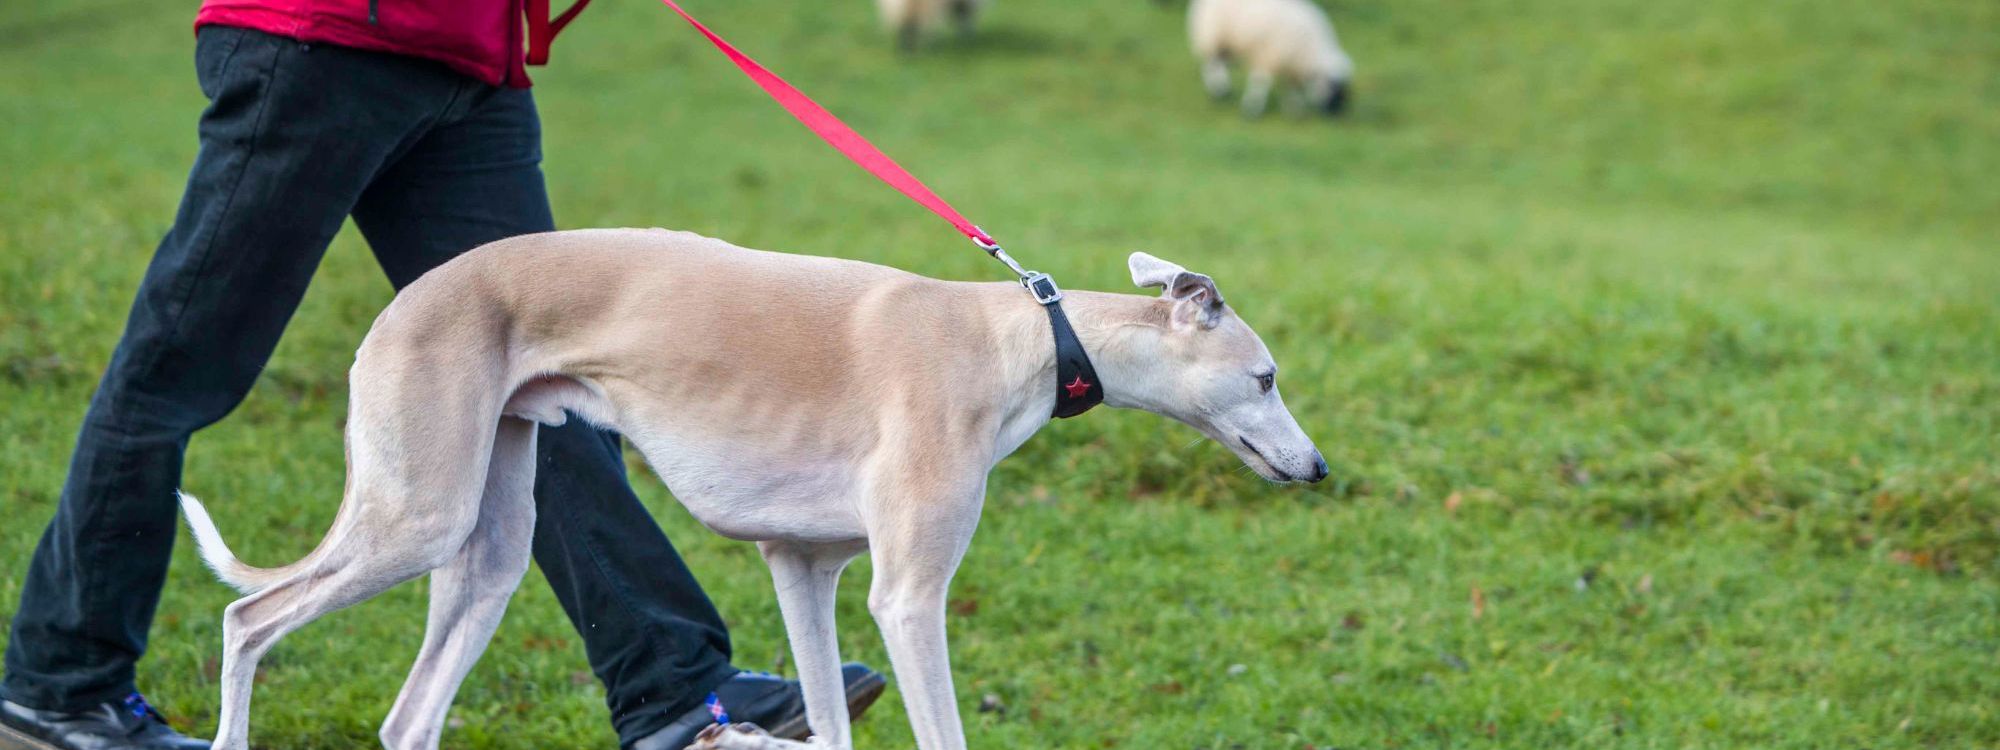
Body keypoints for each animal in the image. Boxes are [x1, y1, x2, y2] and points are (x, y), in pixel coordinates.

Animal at [176, 229, 1328, 750]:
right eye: (1268, 377)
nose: (1319, 468)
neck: (1028, 339)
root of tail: (402, 303)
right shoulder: (906, 598)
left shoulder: (802, 570)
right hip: (415, 514)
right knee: (246, 617)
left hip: (486, 543)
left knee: (407, 715)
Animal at [1184, 0, 1360, 117]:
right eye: (1333, 86)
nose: (1337, 114)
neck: (1310, 50)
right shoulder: (1268, 56)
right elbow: (1261, 83)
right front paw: (1252, 110)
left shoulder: (1291, 66)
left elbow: (1292, 88)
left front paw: (1294, 110)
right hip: (1212, 36)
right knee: (1212, 64)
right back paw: (1219, 91)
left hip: (1227, 43)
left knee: (1220, 64)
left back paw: (1224, 89)